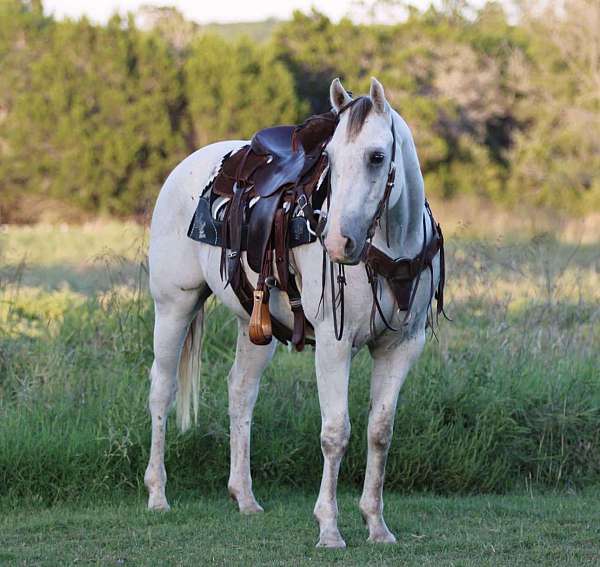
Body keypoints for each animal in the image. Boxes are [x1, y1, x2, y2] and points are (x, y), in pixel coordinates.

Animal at [143, 77, 442, 548]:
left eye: (377, 156)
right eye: (330, 159)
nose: (338, 242)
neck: (390, 248)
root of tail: (185, 167)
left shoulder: (402, 347)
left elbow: (379, 432)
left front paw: (376, 525)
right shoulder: (335, 345)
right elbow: (335, 433)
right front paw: (329, 528)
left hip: (254, 325)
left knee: (241, 391)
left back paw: (244, 497)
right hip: (174, 306)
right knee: (162, 388)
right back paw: (157, 494)